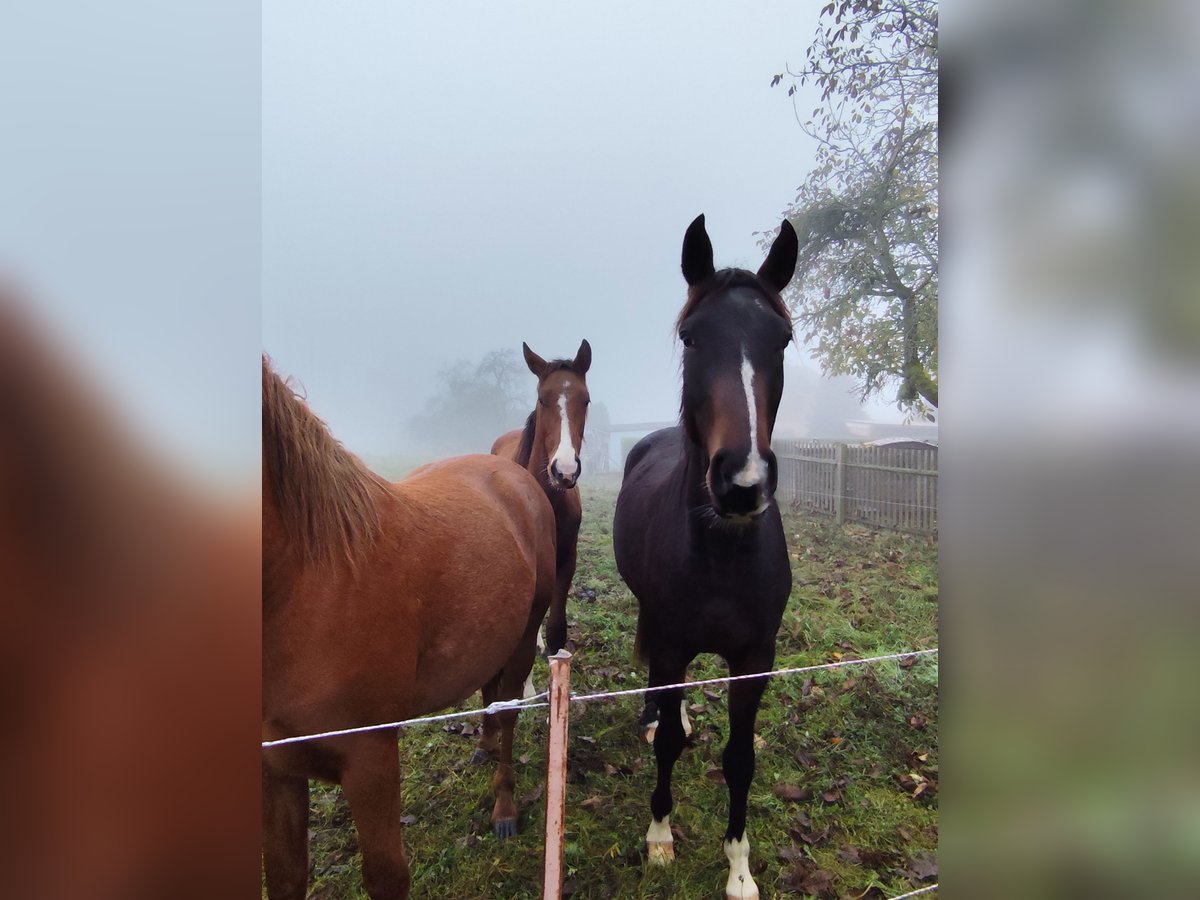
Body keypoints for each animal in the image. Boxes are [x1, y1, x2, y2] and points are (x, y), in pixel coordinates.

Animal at [262, 357, 557, 899]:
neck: (307, 581)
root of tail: (514, 473)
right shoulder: (274, 772)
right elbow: (286, 878)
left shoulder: (370, 759)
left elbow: (388, 876)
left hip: (526, 636)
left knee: (507, 712)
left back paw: (504, 806)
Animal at [612, 215, 799, 899]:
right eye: (692, 337)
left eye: (784, 339)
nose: (742, 482)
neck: (722, 554)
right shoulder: (671, 643)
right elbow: (666, 742)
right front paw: (660, 837)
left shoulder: (755, 660)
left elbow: (740, 760)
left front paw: (739, 866)